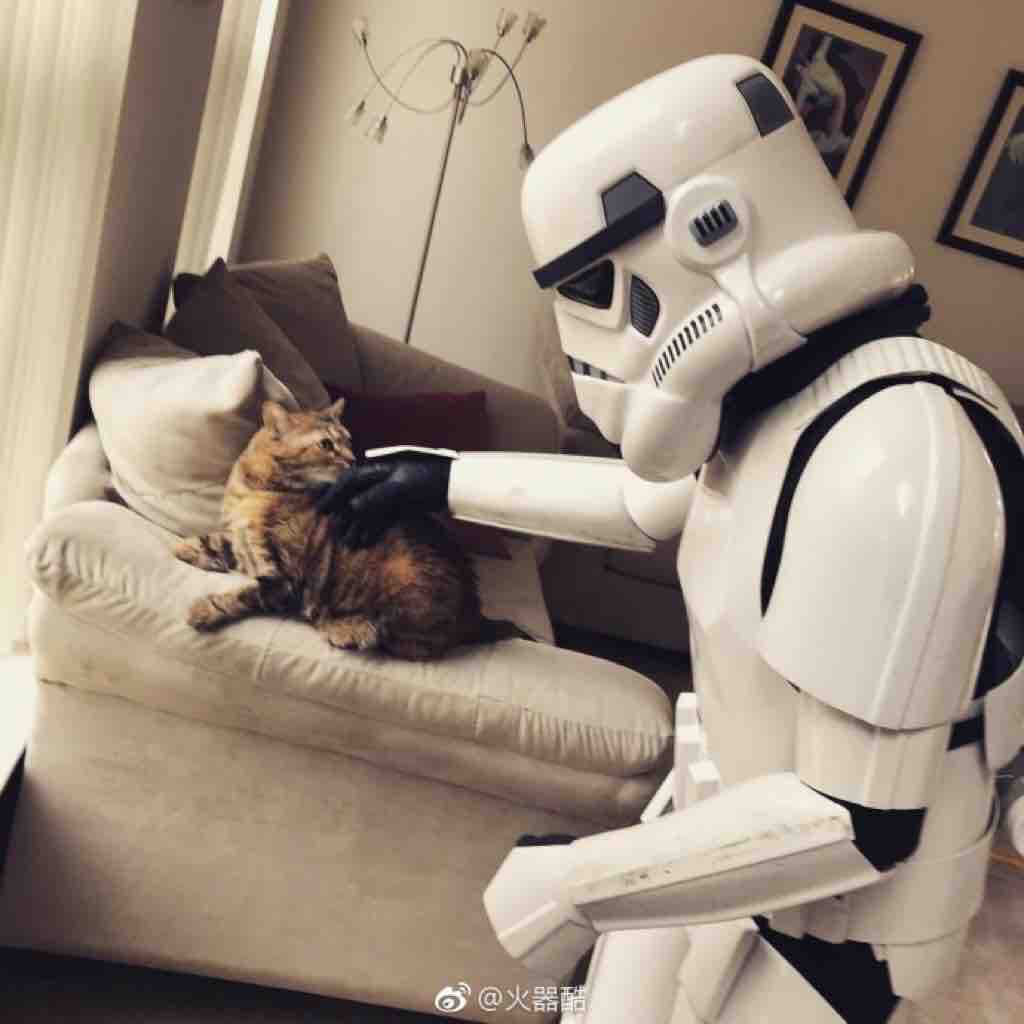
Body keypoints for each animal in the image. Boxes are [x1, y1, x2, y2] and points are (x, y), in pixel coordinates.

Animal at [173, 398, 488, 660]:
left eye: (349, 442)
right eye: (326, 444)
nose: (353, 460)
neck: (256, 491)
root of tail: (476, 615)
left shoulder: (283, 578)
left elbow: (243, 595)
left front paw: (205, 609)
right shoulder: (243, 542)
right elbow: (217, 541)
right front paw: (186, 547)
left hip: (404, 581)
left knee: (394, 637)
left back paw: (345, 627)